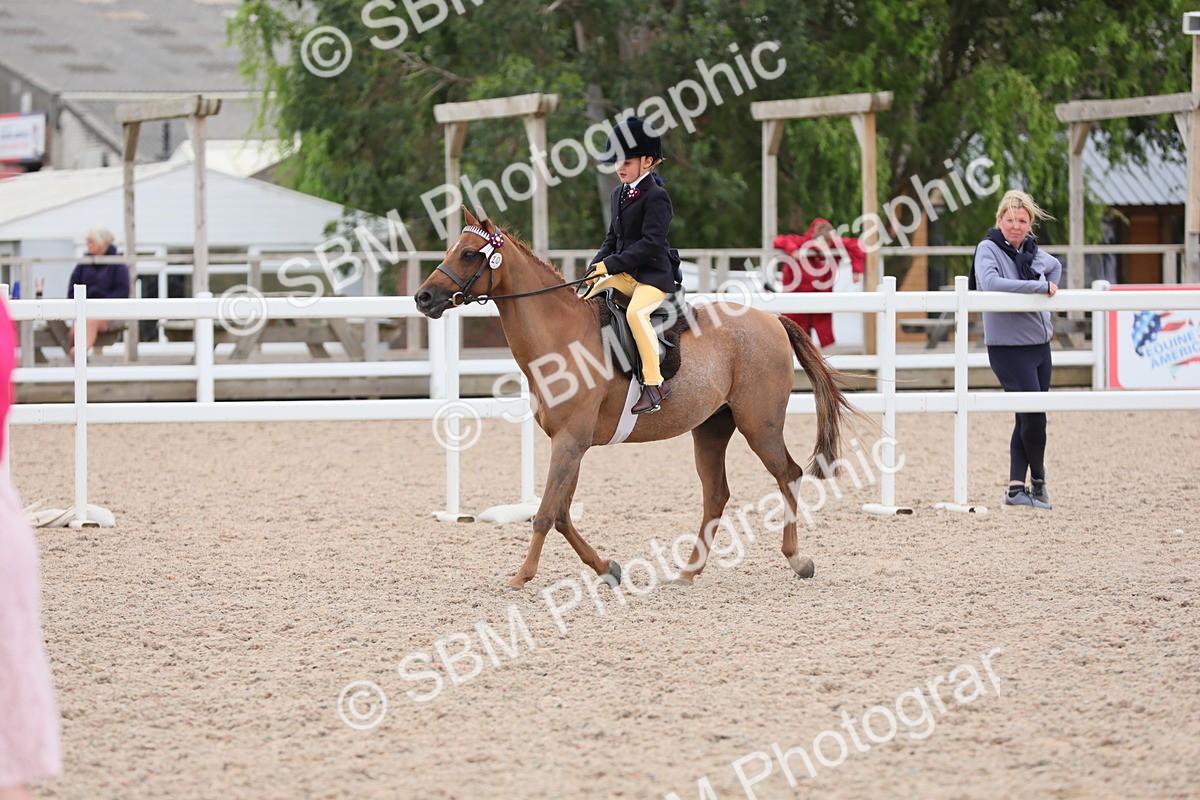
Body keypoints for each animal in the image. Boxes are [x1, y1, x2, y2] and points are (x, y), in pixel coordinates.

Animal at [415, 210, 852, 589]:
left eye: (468, 253)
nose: (423, 298)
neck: (562, 337)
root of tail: (771, 320)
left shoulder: (570, 442)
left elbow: (544, 514)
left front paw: (521, 576)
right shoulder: (571, 443)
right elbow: (561, 513)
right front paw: (607, 568)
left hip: (759, 425)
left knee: (787, 475)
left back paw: (797, 559)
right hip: (711, 429)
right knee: (716, 495)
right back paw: (689, 571)